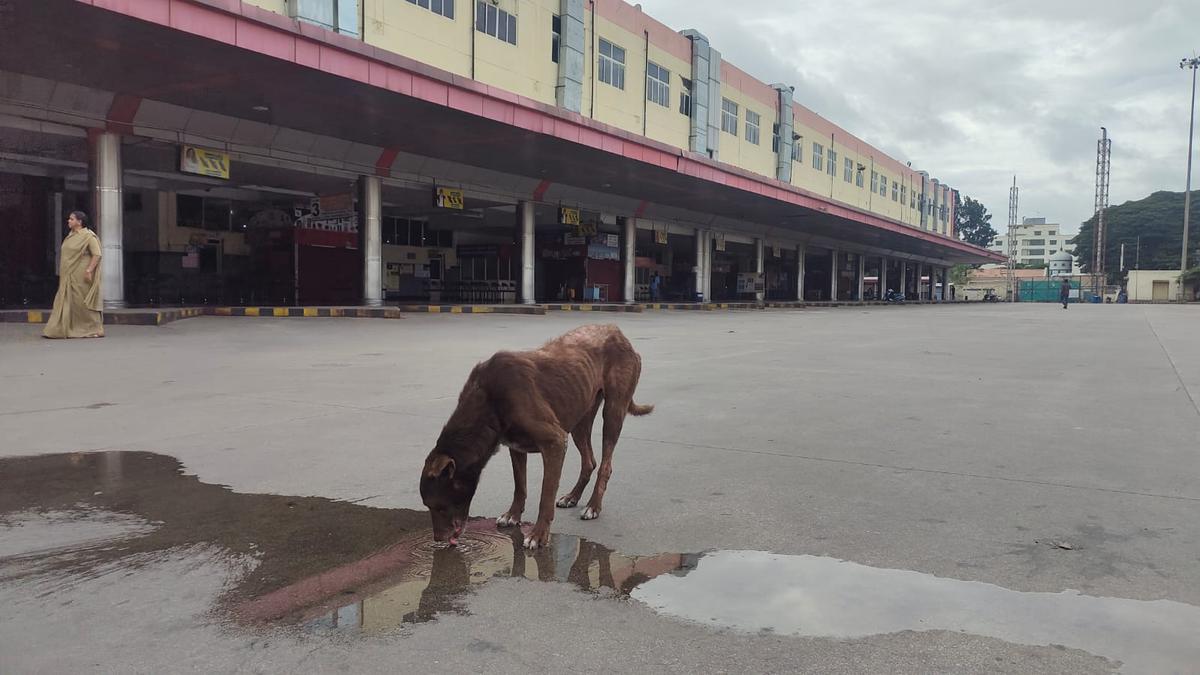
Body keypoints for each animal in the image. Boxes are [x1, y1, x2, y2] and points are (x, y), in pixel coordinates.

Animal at [417, 324, 652, 550]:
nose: (438, 540)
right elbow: (520, 485)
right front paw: (512, 515)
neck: (489, 400)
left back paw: (593, 506)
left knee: (605, 465)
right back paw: (572, 497)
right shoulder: (516, 447)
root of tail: (619, 334)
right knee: (589, 461)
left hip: (613, 412)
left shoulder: (555, 442)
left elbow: (545, 497)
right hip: (579, 417)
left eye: (439, 507)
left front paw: (538, 535)